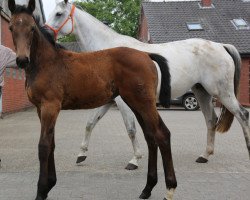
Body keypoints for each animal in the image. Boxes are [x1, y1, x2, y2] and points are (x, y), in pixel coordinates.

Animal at [7, 0, 176, 200]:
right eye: (11, 27)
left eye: (32, 28)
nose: (22, 60)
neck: (47, 63)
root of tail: (146, 55)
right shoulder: (41, 109)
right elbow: (52, 144)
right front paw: (50, 184)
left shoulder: (50, 106)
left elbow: (44, 146)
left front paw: (41, 191)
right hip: (136, 104)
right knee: (151, 137)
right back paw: (147, 188)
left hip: (144, 102)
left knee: (162, 135)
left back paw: (169, 189)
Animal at [46, 0, 249, 169]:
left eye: (59, 14)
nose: (46, 33)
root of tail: (221, 45)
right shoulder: (109, 101)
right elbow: (90, 123)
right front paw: (81, 155)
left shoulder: (122, 103)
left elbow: (130, 129)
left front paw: (134, 160)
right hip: (202, 93)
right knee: (211, 120)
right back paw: (204, 156)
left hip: (222, 93)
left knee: (242, 115)